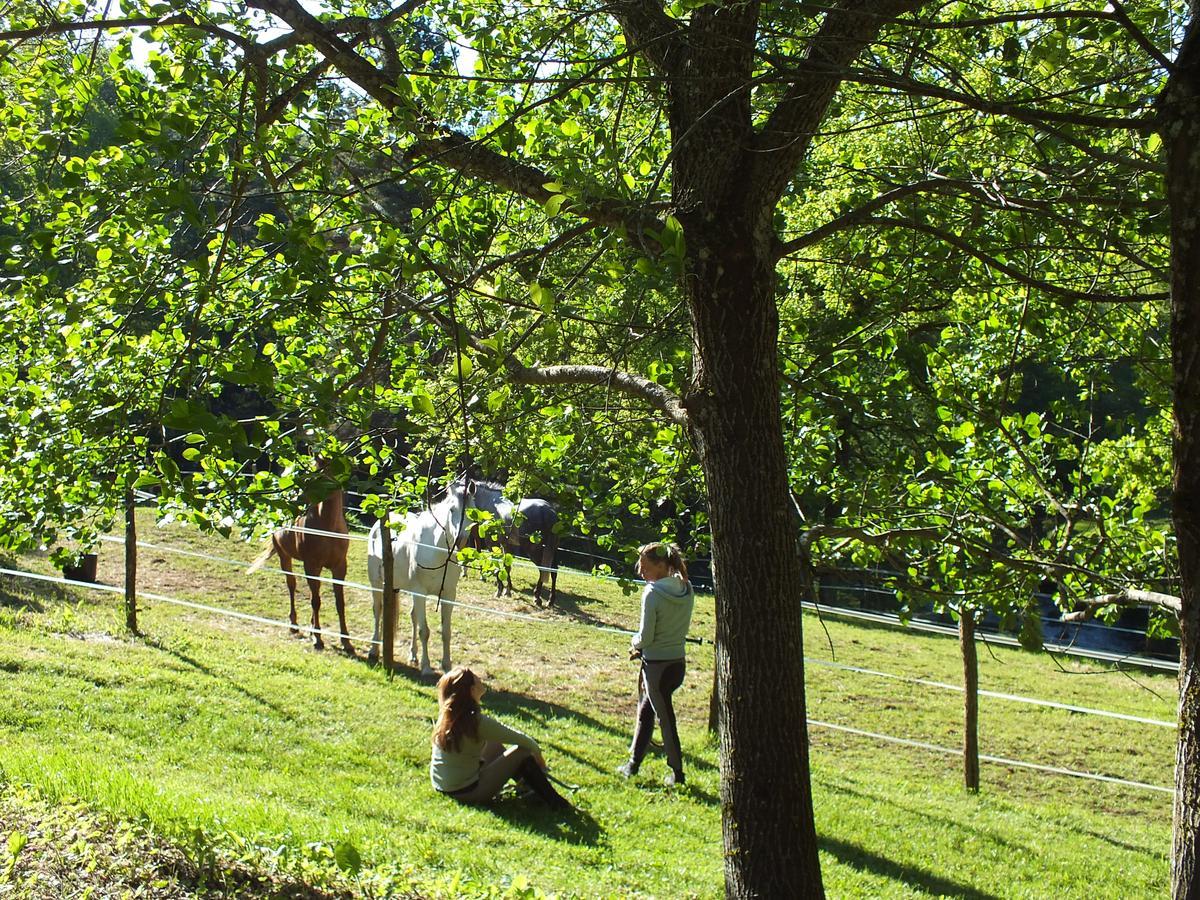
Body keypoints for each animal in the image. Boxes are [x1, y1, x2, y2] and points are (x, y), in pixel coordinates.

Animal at [246, 489, 352, 652]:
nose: (301, 498)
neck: (328, 526)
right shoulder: (311, 565)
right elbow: (315, 602)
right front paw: (318, 639)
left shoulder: (339, 567)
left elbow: (339, 603)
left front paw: (346, 642)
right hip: (285, 557)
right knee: (292, 585)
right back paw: (294, 625)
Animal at [364, 472, 477, 676]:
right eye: (452, 510)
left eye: (472, 511)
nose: (460, 542)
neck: (437, 550)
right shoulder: (420, 592)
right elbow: (425, 631)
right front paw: (426, 667)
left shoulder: (449, 595)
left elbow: (446, 632)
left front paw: (447, 667)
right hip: (376, 583)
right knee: (378, 611)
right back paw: (374, 650)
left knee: (411, 616)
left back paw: (413, 655)